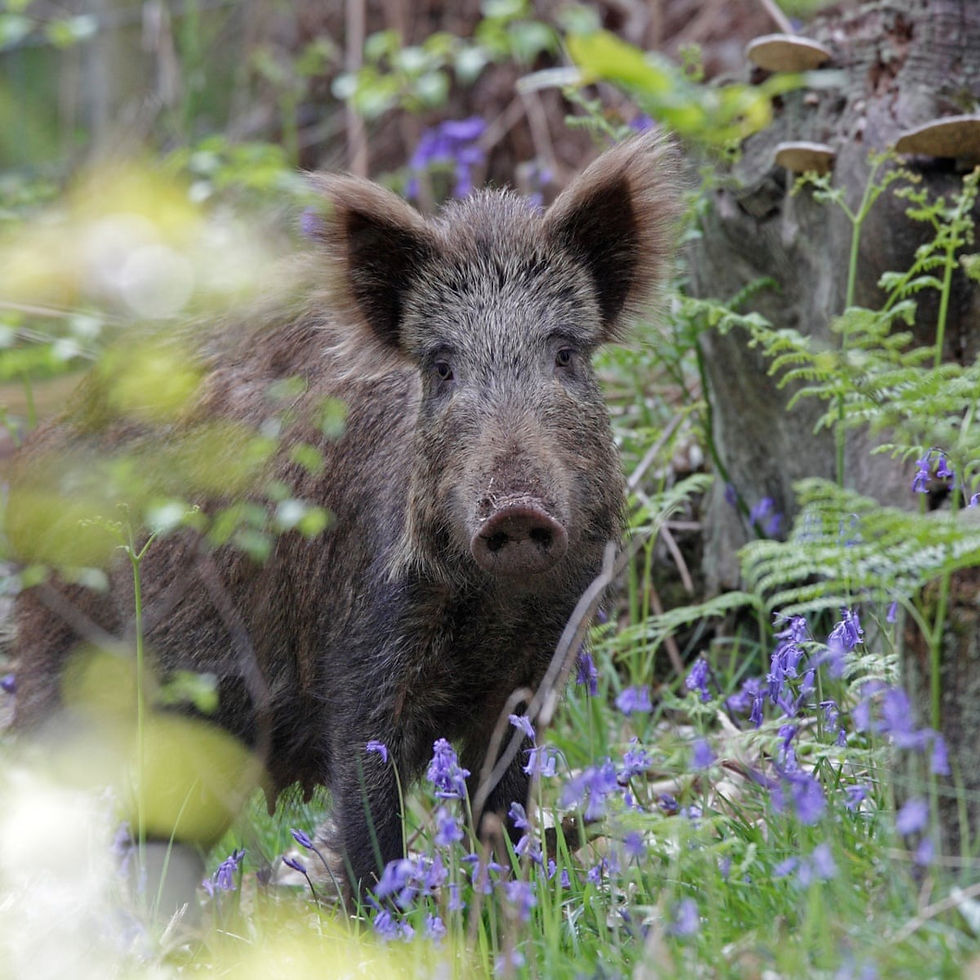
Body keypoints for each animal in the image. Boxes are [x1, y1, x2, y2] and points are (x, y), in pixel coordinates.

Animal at [9, 132, 679, 896]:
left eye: (565, 354)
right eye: (441, 367)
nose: (513, 511)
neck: (493, 609)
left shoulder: (535, 669)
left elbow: (501, 809)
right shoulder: (363, 652)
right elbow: (369, 825)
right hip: (72, 669)